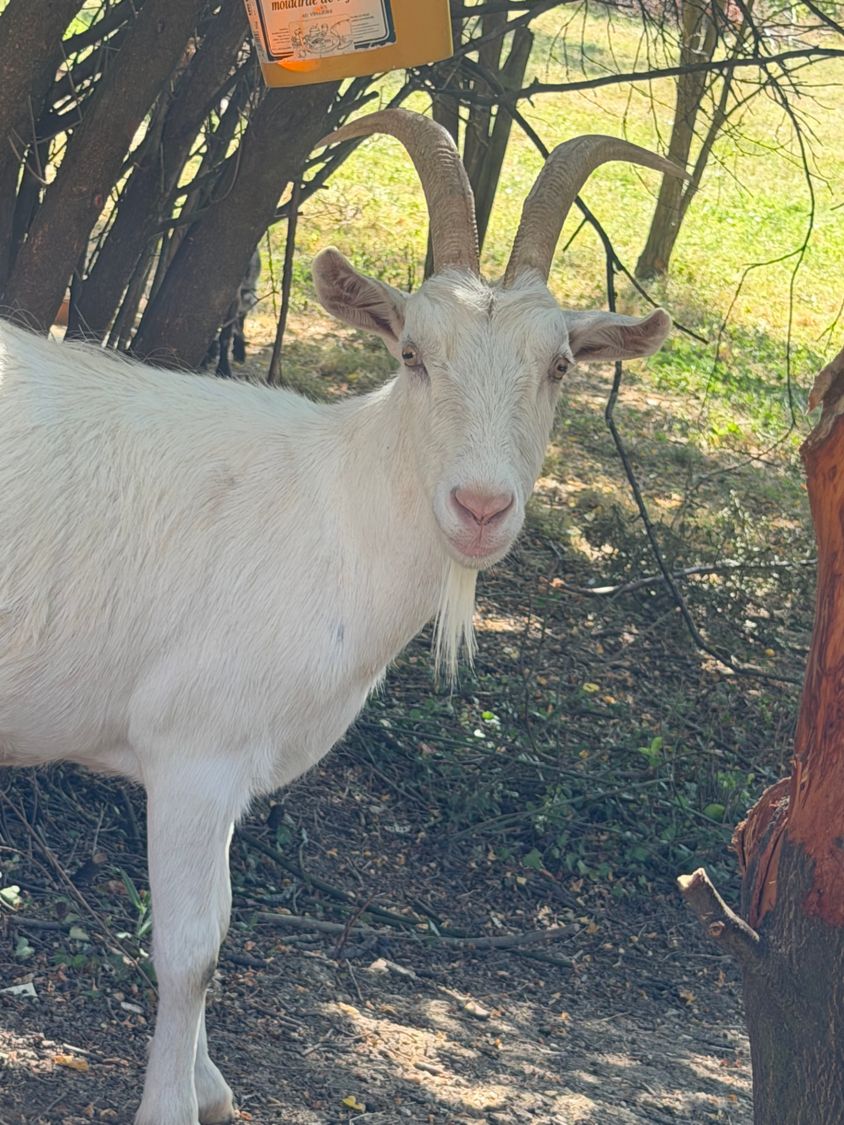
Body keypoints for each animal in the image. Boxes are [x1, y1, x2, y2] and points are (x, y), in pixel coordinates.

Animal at [0, 109, 681, 1125]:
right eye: (413, 354)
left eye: (559, 365)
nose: (481, 507)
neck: (329, 508)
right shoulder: (193, 752)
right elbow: (192, 949)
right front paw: (172, 1103)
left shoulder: (234, 768)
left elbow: (226, 918)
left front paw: (209, 1085)